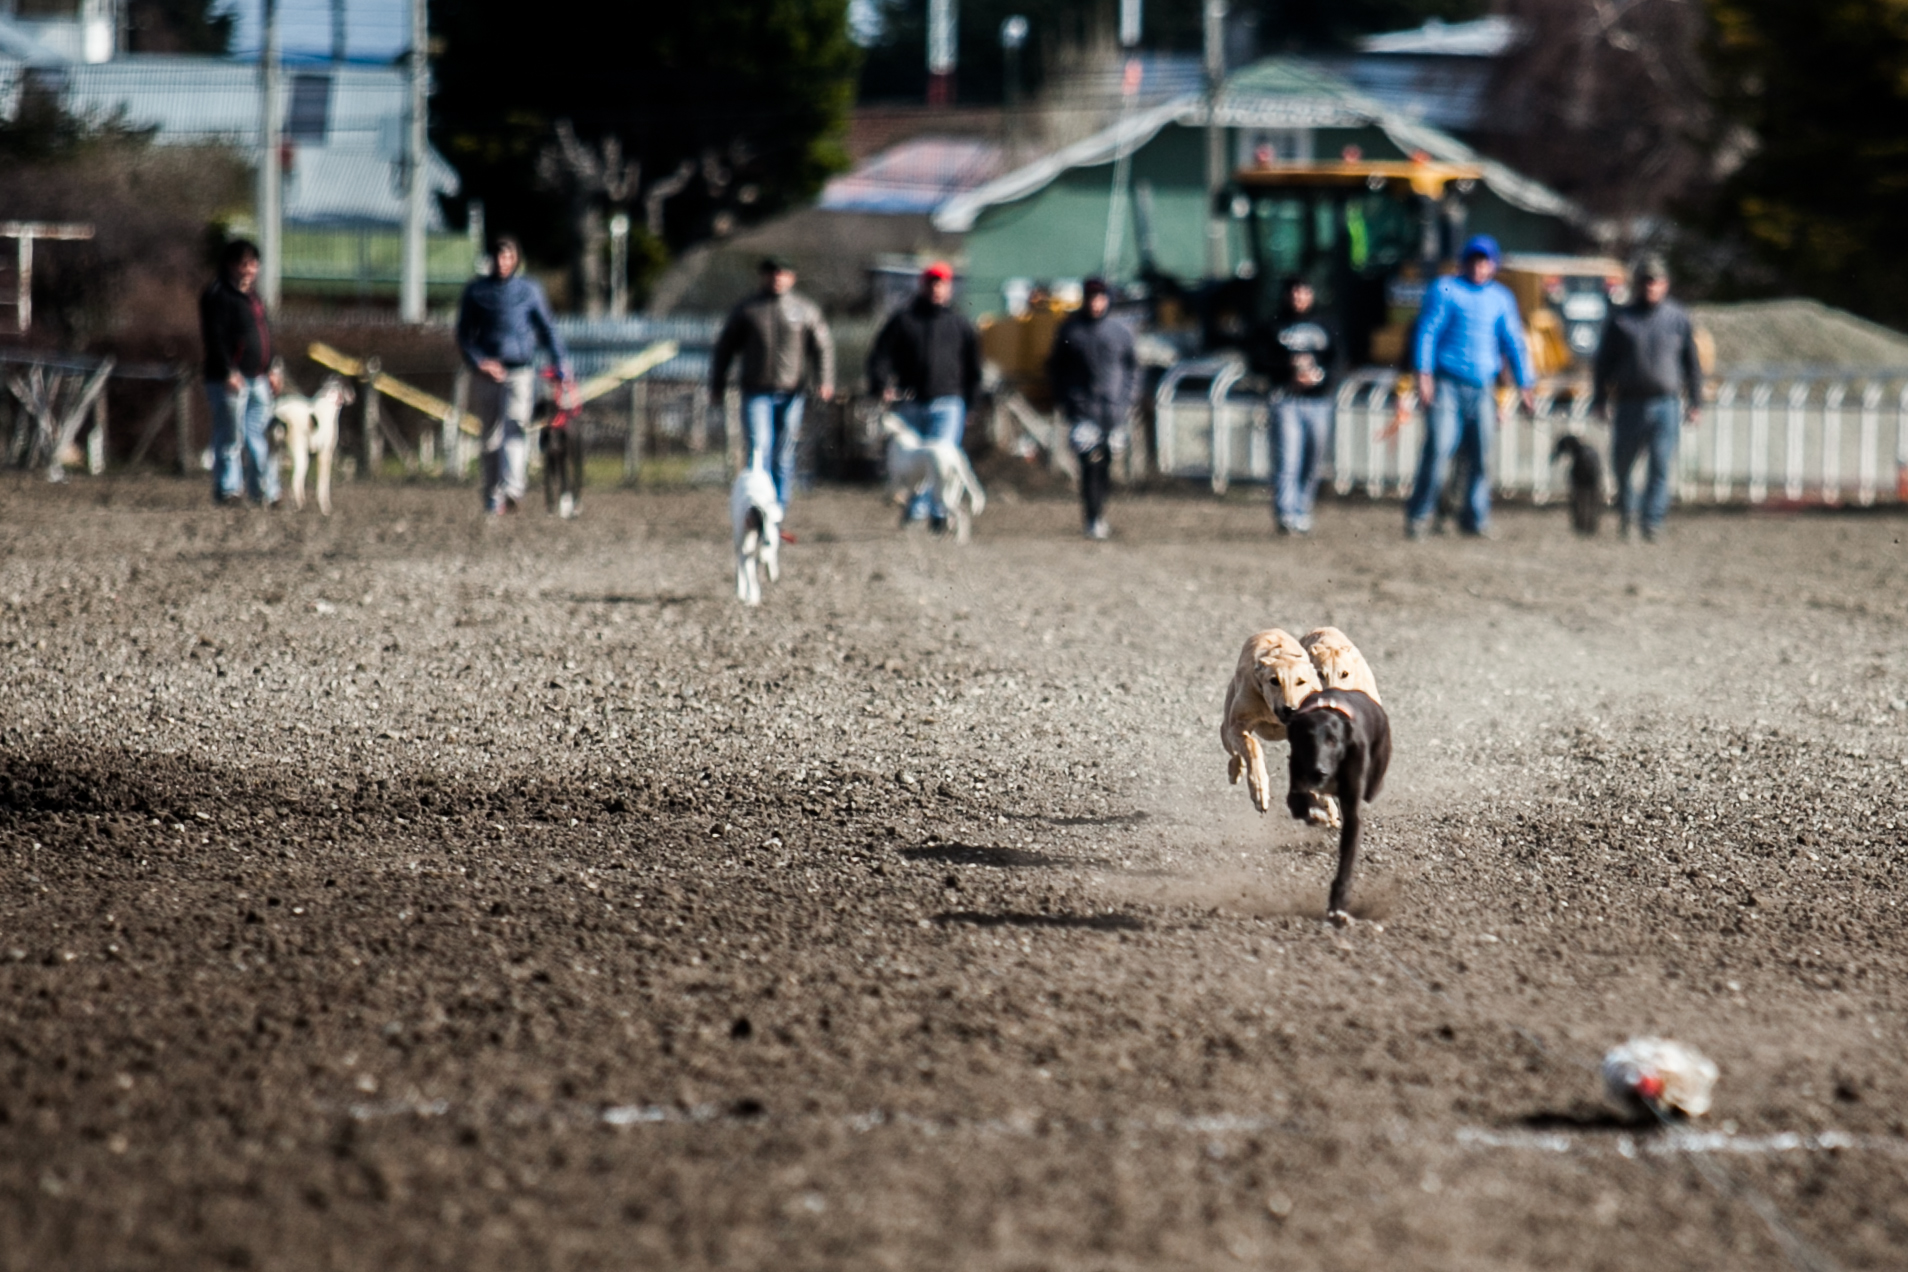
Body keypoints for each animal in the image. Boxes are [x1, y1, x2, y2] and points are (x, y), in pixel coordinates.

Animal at [272, 375, 354, 514]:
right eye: (346, 385)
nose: (354, 396)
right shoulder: (325, 454)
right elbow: (323, 483)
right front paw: (326, 508)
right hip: (301, 455)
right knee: (296, 480)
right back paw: (300, 505)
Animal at [732, 465, 786, 610]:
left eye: (773, 522)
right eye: (759, 521)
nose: (767, 541)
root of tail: (755, 469)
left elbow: (768, 555)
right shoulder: (746, 550)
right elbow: (750, 574)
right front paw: (753, 599)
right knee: (742, 566)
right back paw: (743, 592)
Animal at [877, 413, 984, 541]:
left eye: (881, 423)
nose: (878, 435)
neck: (900, 435)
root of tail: (953, 458)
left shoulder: (895, 477)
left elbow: (890, 489)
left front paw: (890, 501)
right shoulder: (913, 484)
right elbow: (908, 498)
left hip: (940, 493)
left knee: (961, 513)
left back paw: (960, 540)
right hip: (952, 490)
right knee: (958, 513)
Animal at [1228, 625, 1320, 816]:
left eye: (1301, 682)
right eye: (1274, 681)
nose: (1290, 709)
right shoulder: (1237, 727)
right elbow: (1252, 747)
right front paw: (1259, 791)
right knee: (1234, 752)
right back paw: (1236, 770)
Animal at [1289, 686, 1396, 926]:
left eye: (1333, 740)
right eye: (1306, 738)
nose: (1319, 772)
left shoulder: (1353, 809)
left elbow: (1347, 860)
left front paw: (1338, 907)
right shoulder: (1298, 774)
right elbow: (1297, 802)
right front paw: (1314, 812)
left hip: (1374, 781)